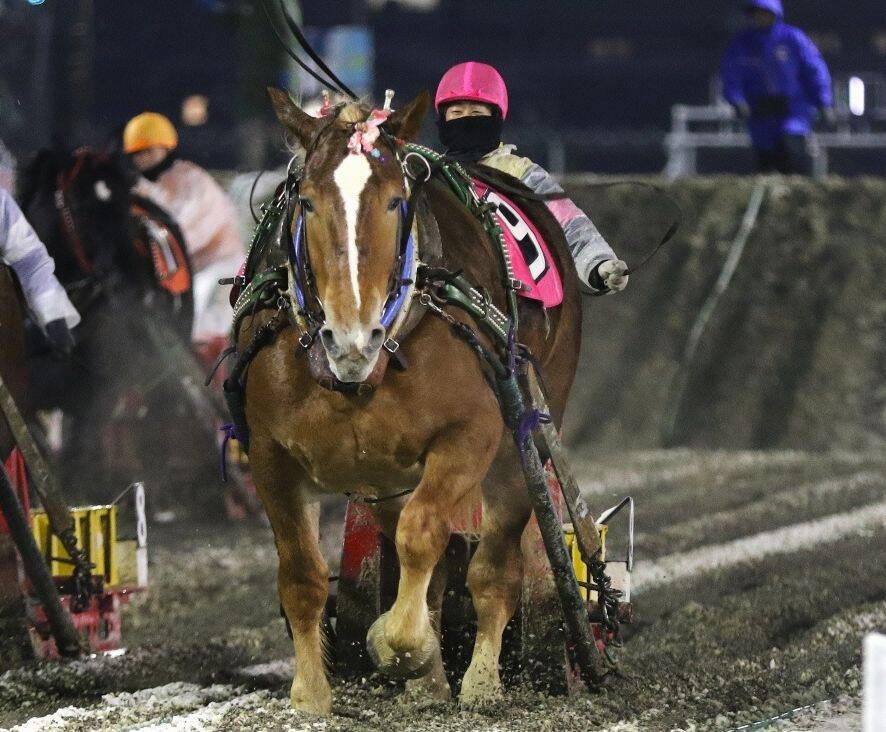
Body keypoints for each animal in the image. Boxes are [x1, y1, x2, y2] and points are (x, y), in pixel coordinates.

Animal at [236, 88, 582, 713]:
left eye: (396, 201)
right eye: (307, 201)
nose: (351, 337)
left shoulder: (470, 435)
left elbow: (423, 536)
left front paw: (401, 646)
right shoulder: (271, 454)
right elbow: (302, 573)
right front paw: (310, 693)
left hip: (523, 447)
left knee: (493, 567)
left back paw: (480, 681)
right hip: (387, 475)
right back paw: (431, 682)